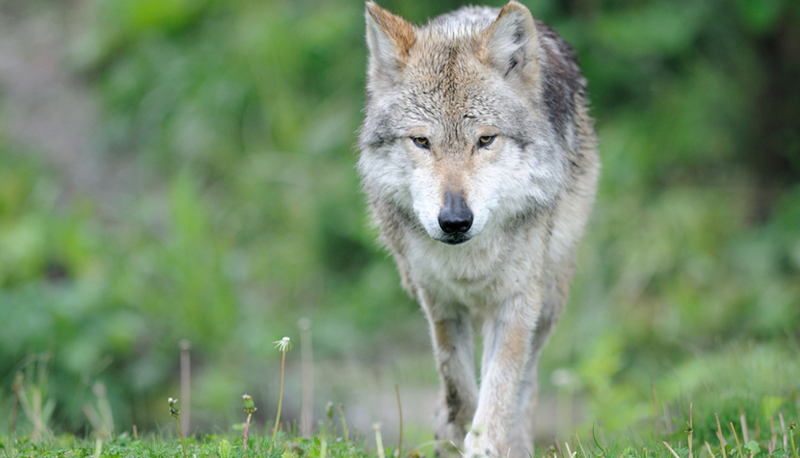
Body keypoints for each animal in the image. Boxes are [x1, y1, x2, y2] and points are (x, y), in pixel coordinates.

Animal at [358, 1, 600, 456]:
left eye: (485, 140)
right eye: (421, 142)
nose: (455, 220)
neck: (466, 263)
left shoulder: (517, 300)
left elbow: (500, 391)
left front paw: (486, 445)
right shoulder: (437, 299)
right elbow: (456, 382)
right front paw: (453, 432)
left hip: (550, 298)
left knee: (528, 381)